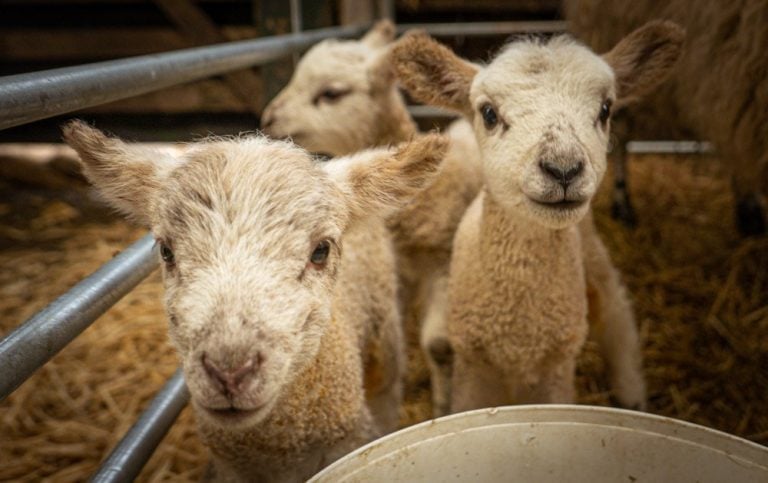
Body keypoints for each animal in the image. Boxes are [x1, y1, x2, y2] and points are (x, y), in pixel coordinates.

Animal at [260, 20, 484, 418]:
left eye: (331, 93)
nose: (267, 119)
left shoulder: (443, 261)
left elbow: (438, 344)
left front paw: (444, 405)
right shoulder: (395, 269)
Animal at [390, 21, 684, 412]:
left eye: (606, 109)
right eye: (489, 113)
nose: (563, 168)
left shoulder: (556, 374)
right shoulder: (473, 371)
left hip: (590, 250)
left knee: (615, 307)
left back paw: (631, 395)